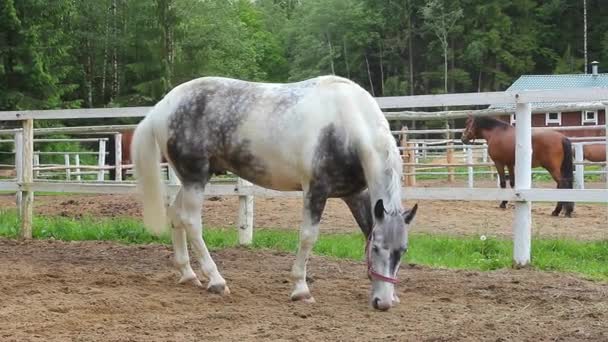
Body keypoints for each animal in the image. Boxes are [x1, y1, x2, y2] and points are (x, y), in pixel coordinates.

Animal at [132, 76, 418, 312]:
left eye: (402, 250)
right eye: (378, 249)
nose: (383, 303)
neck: (346, 124)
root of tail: (162, 107)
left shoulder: (355, 194)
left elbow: (367, 228)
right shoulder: (316, 190)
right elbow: (308, 237)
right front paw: (301, 289)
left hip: (195, 178)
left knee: (175, 215)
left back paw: (188, 274)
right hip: (195, 178)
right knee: (191, 221)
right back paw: (216, 281)